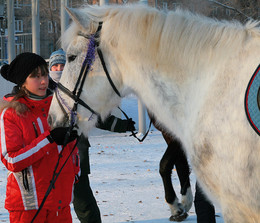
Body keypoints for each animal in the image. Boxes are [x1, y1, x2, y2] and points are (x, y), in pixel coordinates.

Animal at [49, 3, 260, 223]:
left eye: (72, 57)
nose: (52, 117)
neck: (209, 81)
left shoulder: (239, 205)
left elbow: (166, 164)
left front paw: (177, 203)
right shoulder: (172, 133)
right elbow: (175, 165)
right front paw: (181, 204)